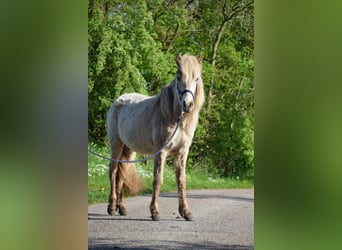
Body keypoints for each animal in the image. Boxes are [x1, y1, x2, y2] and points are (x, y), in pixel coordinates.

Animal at [105, 53, 204, 221]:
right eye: (178, 76)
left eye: (196, 78)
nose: (187, 104)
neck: (174, 118)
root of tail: (119, 99)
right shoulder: (161, 152)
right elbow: (158, 180)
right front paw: (155, 212)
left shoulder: (182, 153)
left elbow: (181, 181)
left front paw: (186, 212)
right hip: (116, 145)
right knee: (113, 171)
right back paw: (111, 207)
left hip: (129, 150)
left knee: (121, 174)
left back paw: (121, 208)